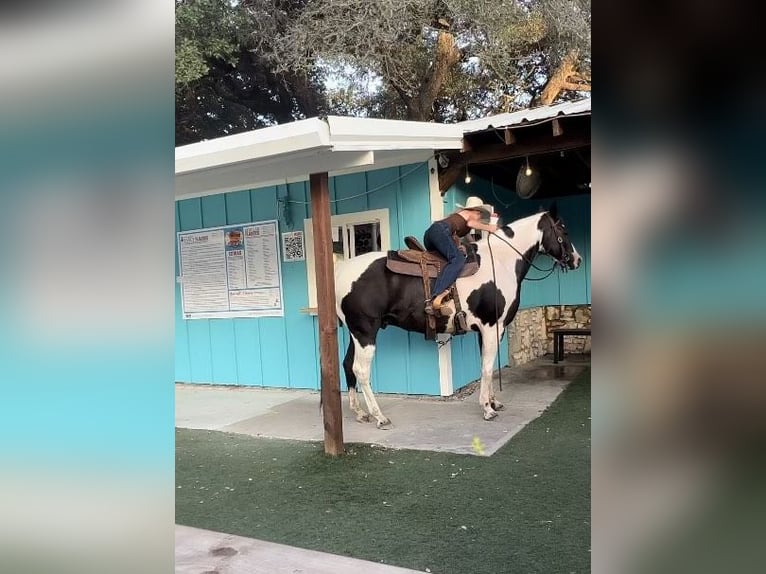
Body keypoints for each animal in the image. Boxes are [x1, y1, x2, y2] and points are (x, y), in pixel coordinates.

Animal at [336, 208, 584, 428]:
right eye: (563, 230)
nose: (577, 260)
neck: (501, 262)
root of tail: (342, 271)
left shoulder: (487, 330)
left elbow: (487, 365)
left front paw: (494, 402)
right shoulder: (492, 327)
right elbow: (487, 368)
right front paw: (487, 409)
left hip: (355, 333)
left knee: (348, 365)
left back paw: (360, 413)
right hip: (366, 332)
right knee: (361, 370)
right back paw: (379, 416)